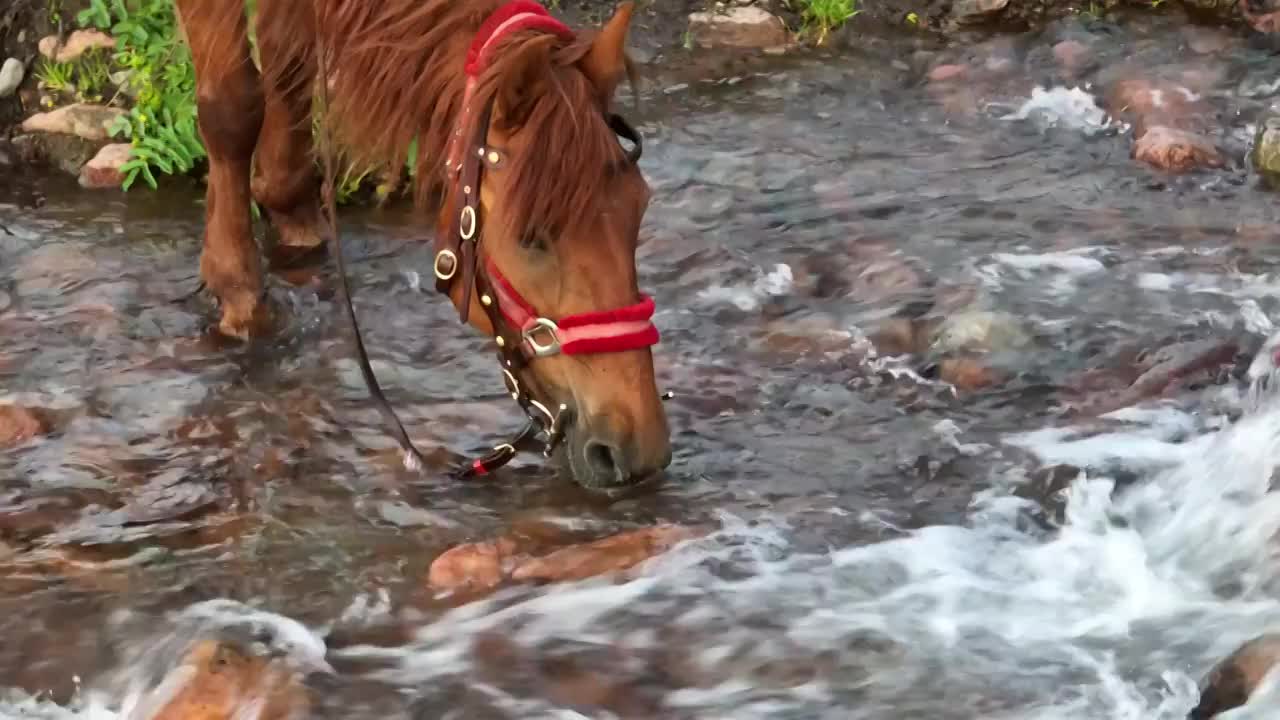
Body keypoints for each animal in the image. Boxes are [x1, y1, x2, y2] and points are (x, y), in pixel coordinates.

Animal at [177, 0, 680, 486]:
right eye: (530, 237)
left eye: (638, 209)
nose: (639, 452)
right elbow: (233, 106)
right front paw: (237, 290)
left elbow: (288, 64)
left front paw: (291, 223)